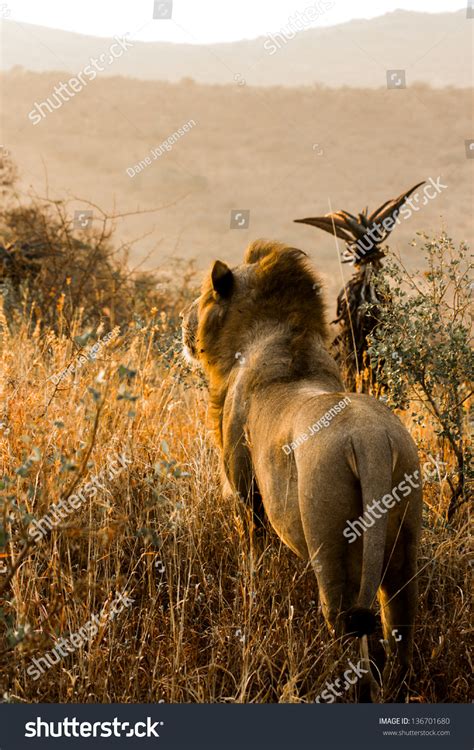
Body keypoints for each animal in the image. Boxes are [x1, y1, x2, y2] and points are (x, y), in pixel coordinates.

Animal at [181, 242, 422, 704]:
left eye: (205, 296)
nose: (183, 323)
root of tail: (370, 441)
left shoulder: (246, 489)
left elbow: (253, 555)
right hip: (404, 544)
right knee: (399, 634)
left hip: (329, 548)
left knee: (345, 631)